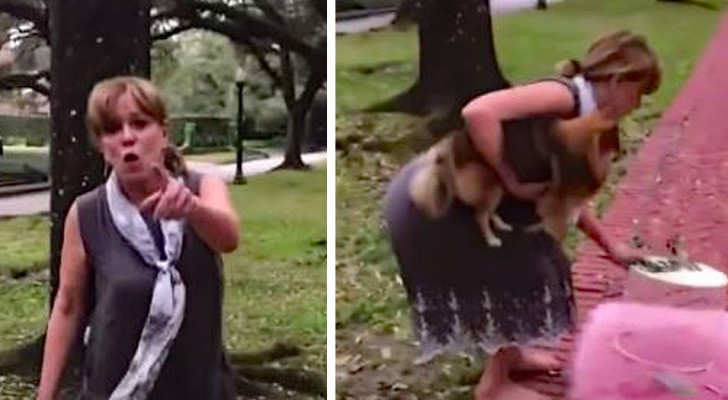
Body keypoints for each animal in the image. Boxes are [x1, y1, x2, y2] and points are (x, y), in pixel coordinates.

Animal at [406, 111, 616, 245]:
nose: (618, 152)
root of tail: (451, 146)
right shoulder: (553, 198)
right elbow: (559, 217)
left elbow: (575, 204)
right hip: (492, 186)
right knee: (480, 216)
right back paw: (491, 239)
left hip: (498, 188)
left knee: (489, 212)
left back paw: (502, 225)